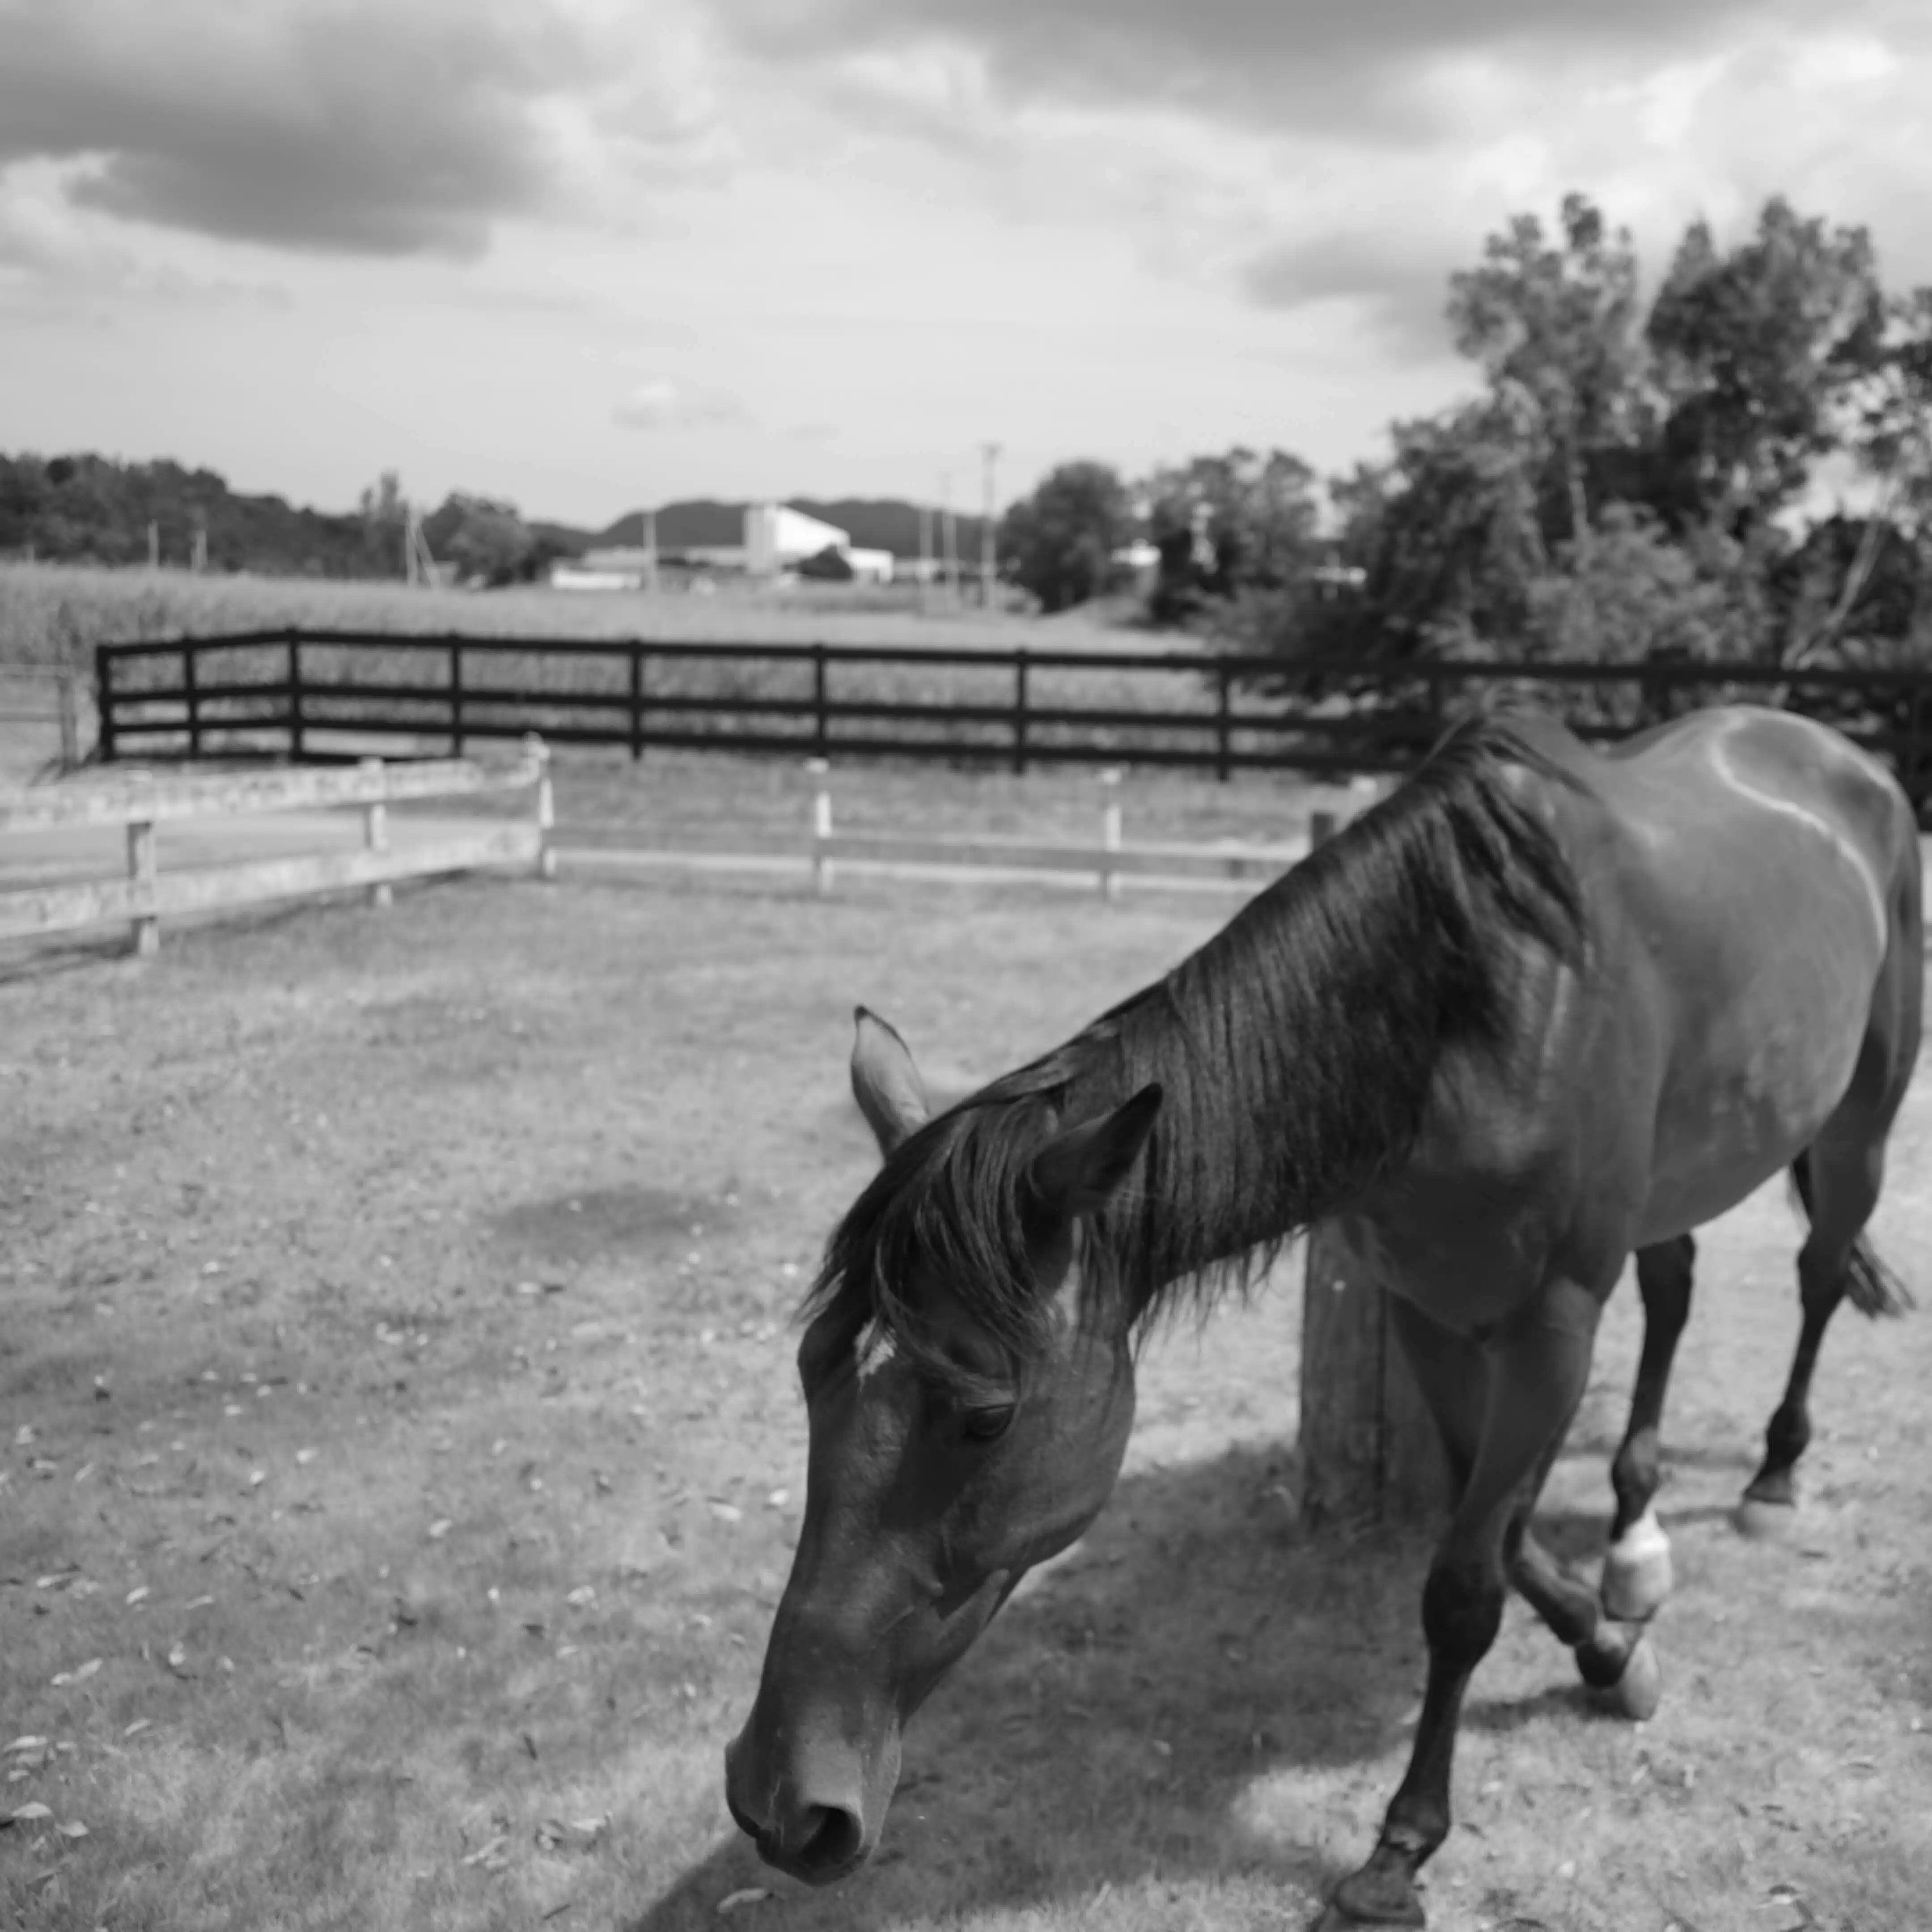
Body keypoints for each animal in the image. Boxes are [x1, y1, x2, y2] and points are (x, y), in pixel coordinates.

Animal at [724, 703, 1922, 1930]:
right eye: (812, 1370)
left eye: (984, 1417)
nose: (783, 1805)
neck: (1471, 1011)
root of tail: (1832, 751)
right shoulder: (1433, 1310)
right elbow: (1497, 1532)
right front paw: (1605, 1643)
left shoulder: (1547, 1325)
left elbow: (1463, 1584)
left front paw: (1401, 1849)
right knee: (1675, 1286)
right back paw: (1636, 1537)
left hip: (1862, 1119)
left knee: (1819, 1273)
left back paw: (1772, 1479)